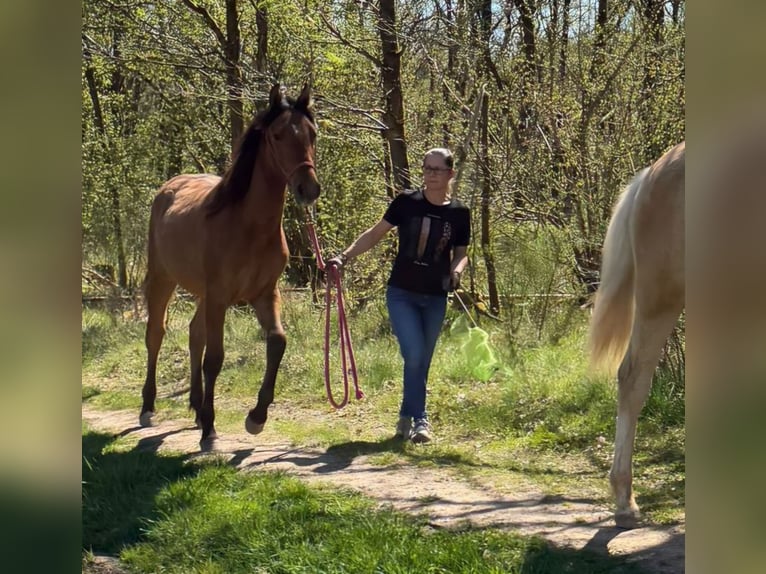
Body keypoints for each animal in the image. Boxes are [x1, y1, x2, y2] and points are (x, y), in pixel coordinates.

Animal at [139, 83, 320, 444]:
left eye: (313, 134)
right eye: (278, 135)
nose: (308, 189)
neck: (249, 227)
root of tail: (169, 187)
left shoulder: (264, 295)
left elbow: (277, 342)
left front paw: (256, 417)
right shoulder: (221, 297)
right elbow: (215, 358)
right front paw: (210, 427)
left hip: (203, 295)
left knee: (194, 334)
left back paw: (196, 407)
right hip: (165, 280)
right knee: (156, 334)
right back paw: (149, 407)